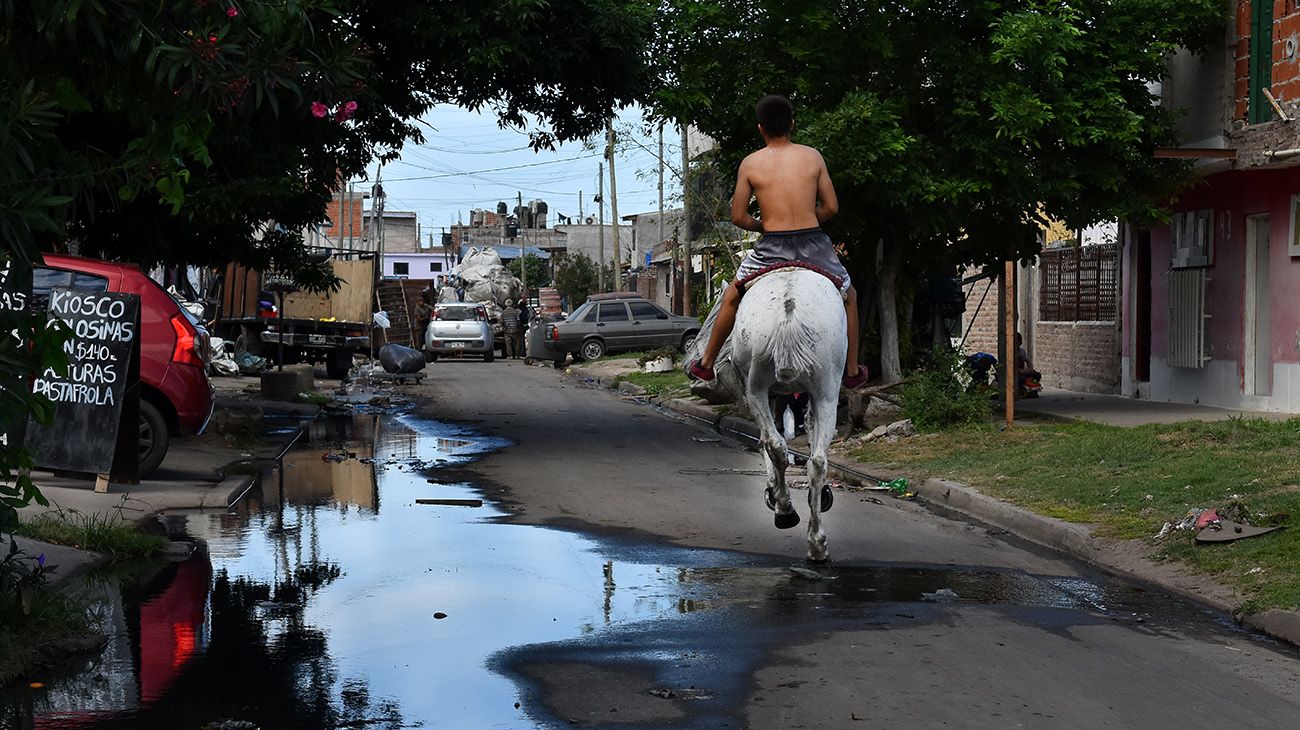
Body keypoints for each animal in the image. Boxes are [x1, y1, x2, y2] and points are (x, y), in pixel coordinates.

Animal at [728, 263, 847, 558]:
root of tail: (788, 310)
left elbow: (766, 441)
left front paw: (775, 492)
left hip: (758, 387)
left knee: (779, 445)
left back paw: (791, 515)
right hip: (825, 390)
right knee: (812, 459)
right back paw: (811, 536)